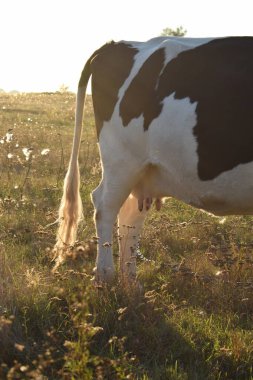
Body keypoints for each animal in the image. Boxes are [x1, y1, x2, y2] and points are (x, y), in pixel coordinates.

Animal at [54, 36, 253, 282]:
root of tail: (116, 43)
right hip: (122, 160)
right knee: (104, 206)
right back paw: (105, 276)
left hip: (145, 172)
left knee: (129, 218)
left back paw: (131, 284)